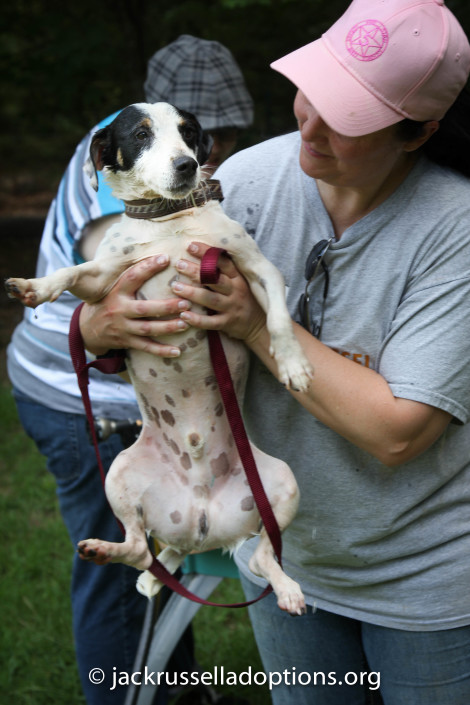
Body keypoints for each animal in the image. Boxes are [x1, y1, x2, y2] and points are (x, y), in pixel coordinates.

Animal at [6, 102, 312, 612]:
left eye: (188, 132)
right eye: (141, 135)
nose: (186, 165)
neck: (168, 222)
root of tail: (202, 522)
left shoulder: (258, 269)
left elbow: (277, 320)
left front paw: (294, 364)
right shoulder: (102, 280)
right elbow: (72, 274)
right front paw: (36, 287)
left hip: (282, 485)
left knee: (259, 557)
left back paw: (285, 588)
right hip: (118, 475)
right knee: (139, 548)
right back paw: (119, 558)